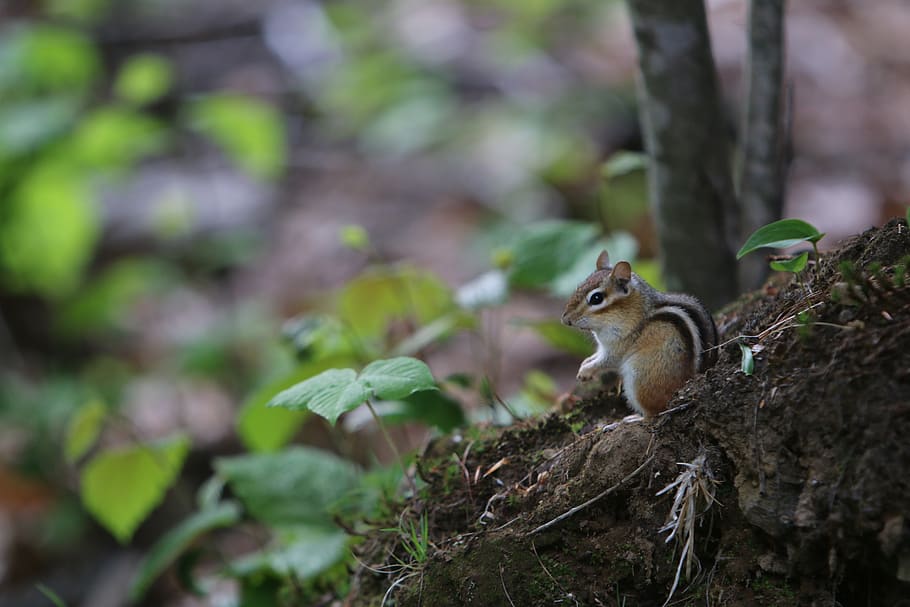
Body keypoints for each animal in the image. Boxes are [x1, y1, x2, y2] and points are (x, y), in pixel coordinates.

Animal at [561, 250, 718, 418]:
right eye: (579, 286)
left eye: (596, 298)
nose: (565, 319)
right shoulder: (603, 346)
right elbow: (596, 356)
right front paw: (584, 364)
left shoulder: (618, 345)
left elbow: (607, 361)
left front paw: (586, 371)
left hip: (639, 376)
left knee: (653, 413)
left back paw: (631, 419)